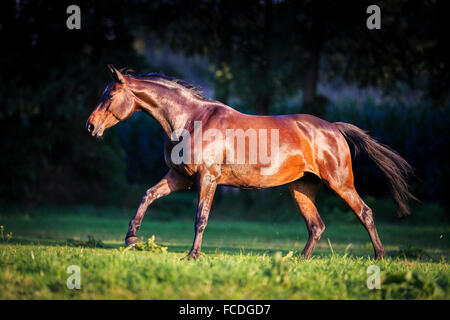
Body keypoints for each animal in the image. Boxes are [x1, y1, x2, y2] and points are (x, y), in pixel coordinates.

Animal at [85, 65, 414, 260]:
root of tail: (333, 127)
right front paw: (131, 238)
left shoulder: (207, 178)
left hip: (340, 183)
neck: (191, 120)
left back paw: (380, 256)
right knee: (316, 225)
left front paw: (192, 255)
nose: (90, 126)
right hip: (302, 188)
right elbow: (148, 195)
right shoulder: (180, 177)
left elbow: (200, 217)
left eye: (110, 94)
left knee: (365, 213)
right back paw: (301, 261)